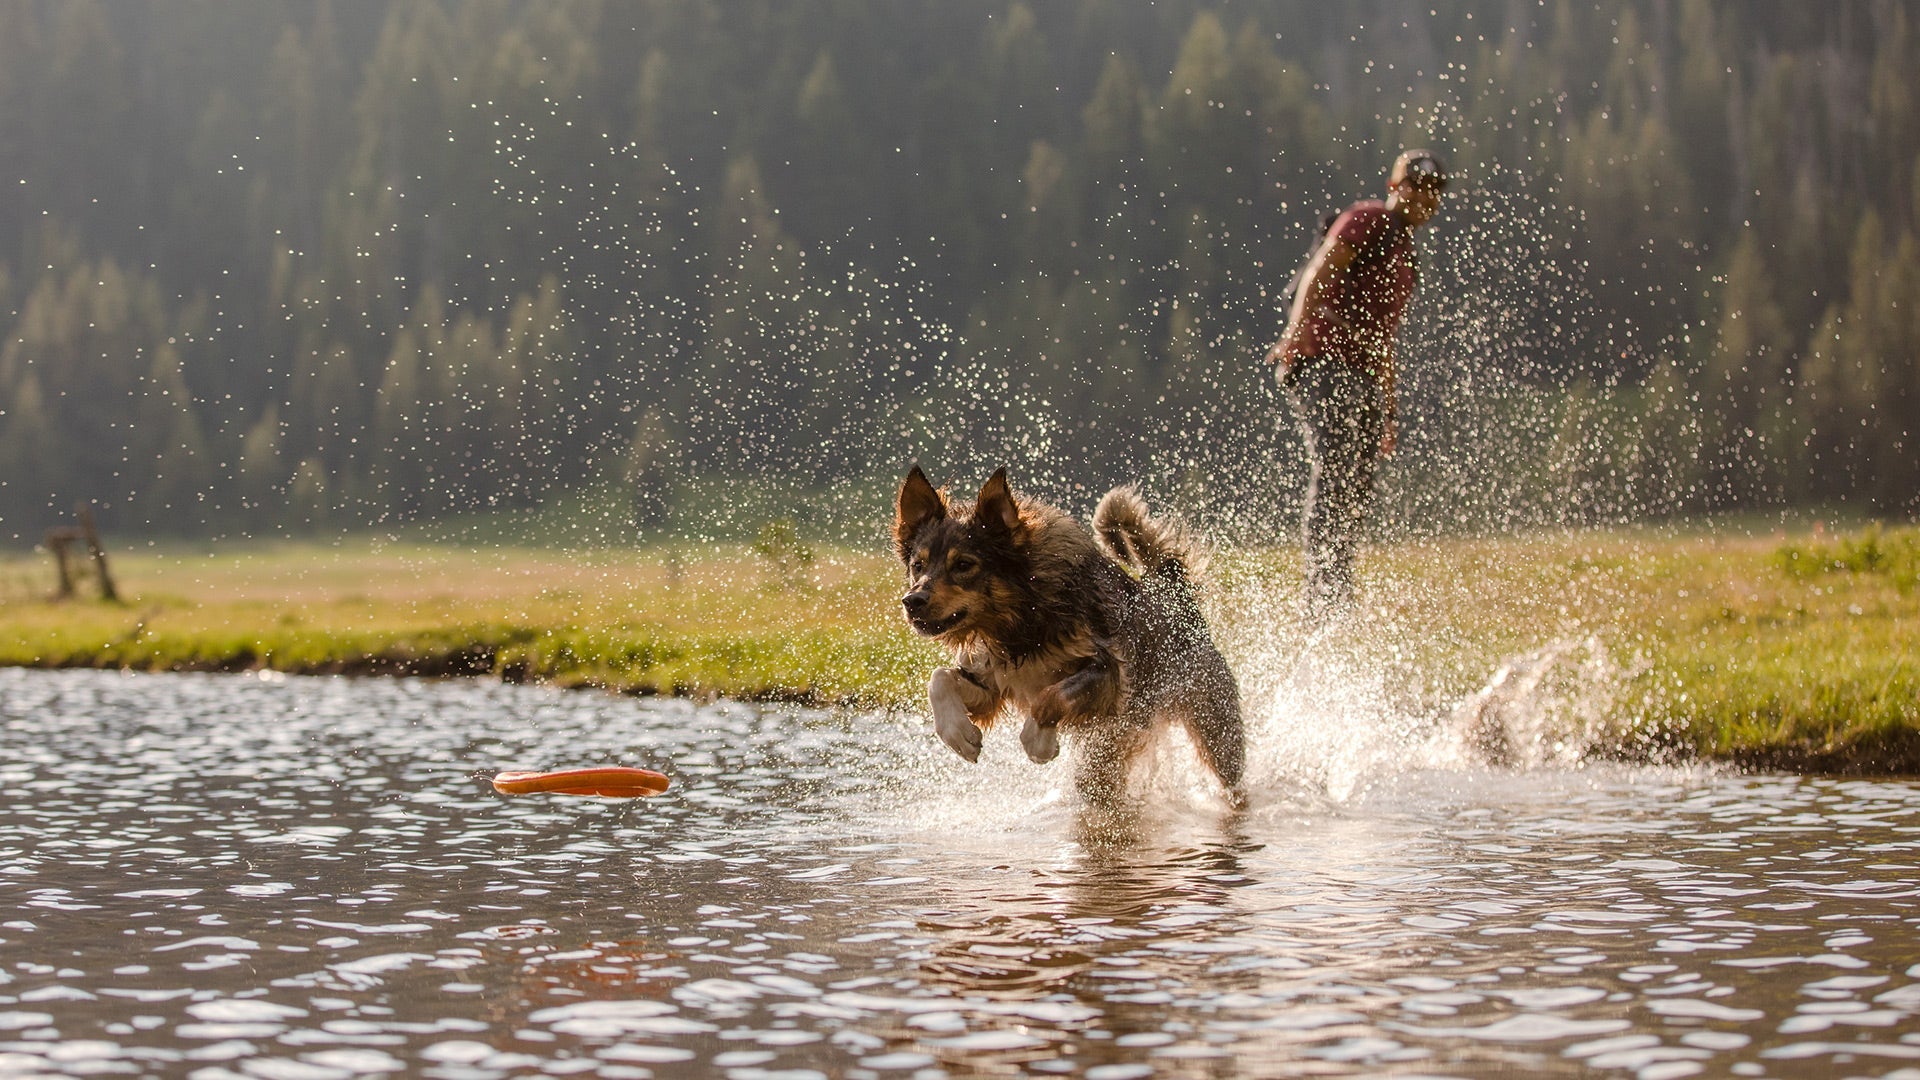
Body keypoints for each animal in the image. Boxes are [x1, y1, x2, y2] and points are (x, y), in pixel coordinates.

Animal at [887, 463, 1244, 799]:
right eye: (918, 565)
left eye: (963, 565)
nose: (912, 601)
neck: (1023, 622)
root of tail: (1175, 596)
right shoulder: (992, 679)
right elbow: (940, 679)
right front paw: (959, 735)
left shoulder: (1109, 671)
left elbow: (1051, 697)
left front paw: (1038, 741)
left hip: (1216, 736)